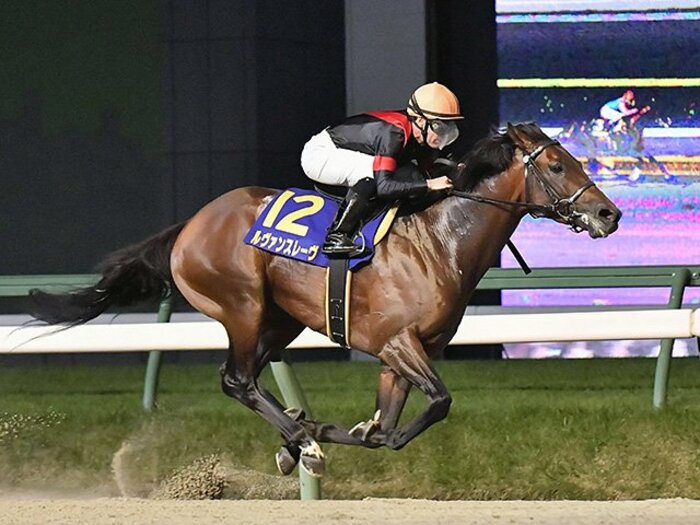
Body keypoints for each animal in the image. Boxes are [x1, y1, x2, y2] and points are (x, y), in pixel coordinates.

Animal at [28, 122, 621, 477]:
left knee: (248, 379)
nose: (608, 214)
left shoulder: (398, 357)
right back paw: (302, 438)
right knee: (235, 379)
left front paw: (336, 430)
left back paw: (296, 434)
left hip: (278, 321)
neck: (438, 242)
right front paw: (316, 434)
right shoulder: (398, 342)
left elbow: (385, 432)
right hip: (242, 306)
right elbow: (437, 404)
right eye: (557, 165)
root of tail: (191, 225)